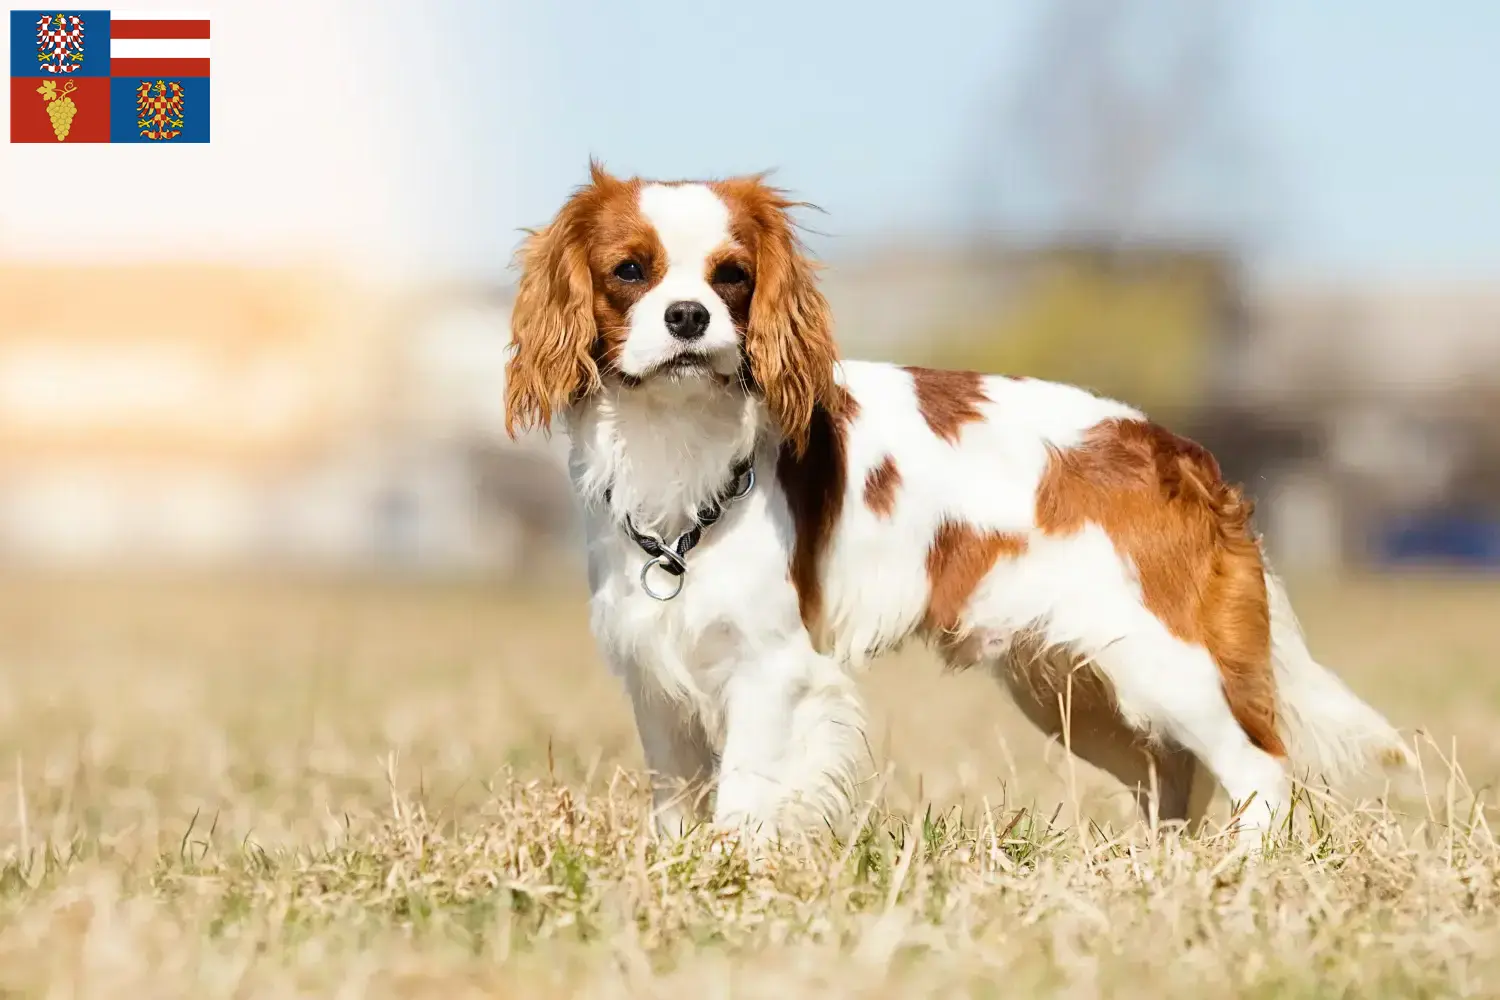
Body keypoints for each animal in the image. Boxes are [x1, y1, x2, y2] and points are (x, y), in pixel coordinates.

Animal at [507, 162, 1416, 845]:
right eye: (630, 271)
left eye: (732, 275)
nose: (690, 316)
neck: (678, 443)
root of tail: (1179, 453)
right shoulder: (657, 677)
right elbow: (676, 806)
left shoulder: (770, 668)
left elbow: (746, 797)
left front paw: (736, 873)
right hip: (1081, 696)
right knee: (1178, 780)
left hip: (1167, 668)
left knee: (1260, 767)